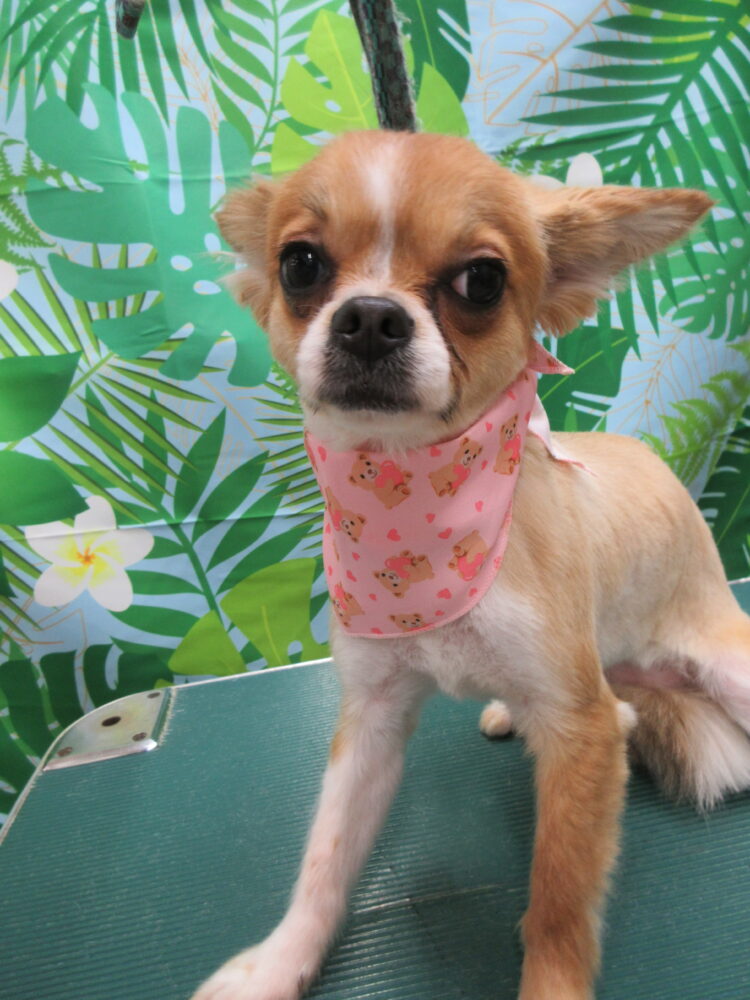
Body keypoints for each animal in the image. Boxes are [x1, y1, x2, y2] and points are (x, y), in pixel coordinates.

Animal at [193, 131, 750, 1000]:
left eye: (481, 280)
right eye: (301, 265)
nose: (370, 318)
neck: (415, 509)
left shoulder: (578, 727)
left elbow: (559, 900)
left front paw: (551, 983)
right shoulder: (374, 716)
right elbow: (324, 861)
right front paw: (278, 963)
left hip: (724, 661)